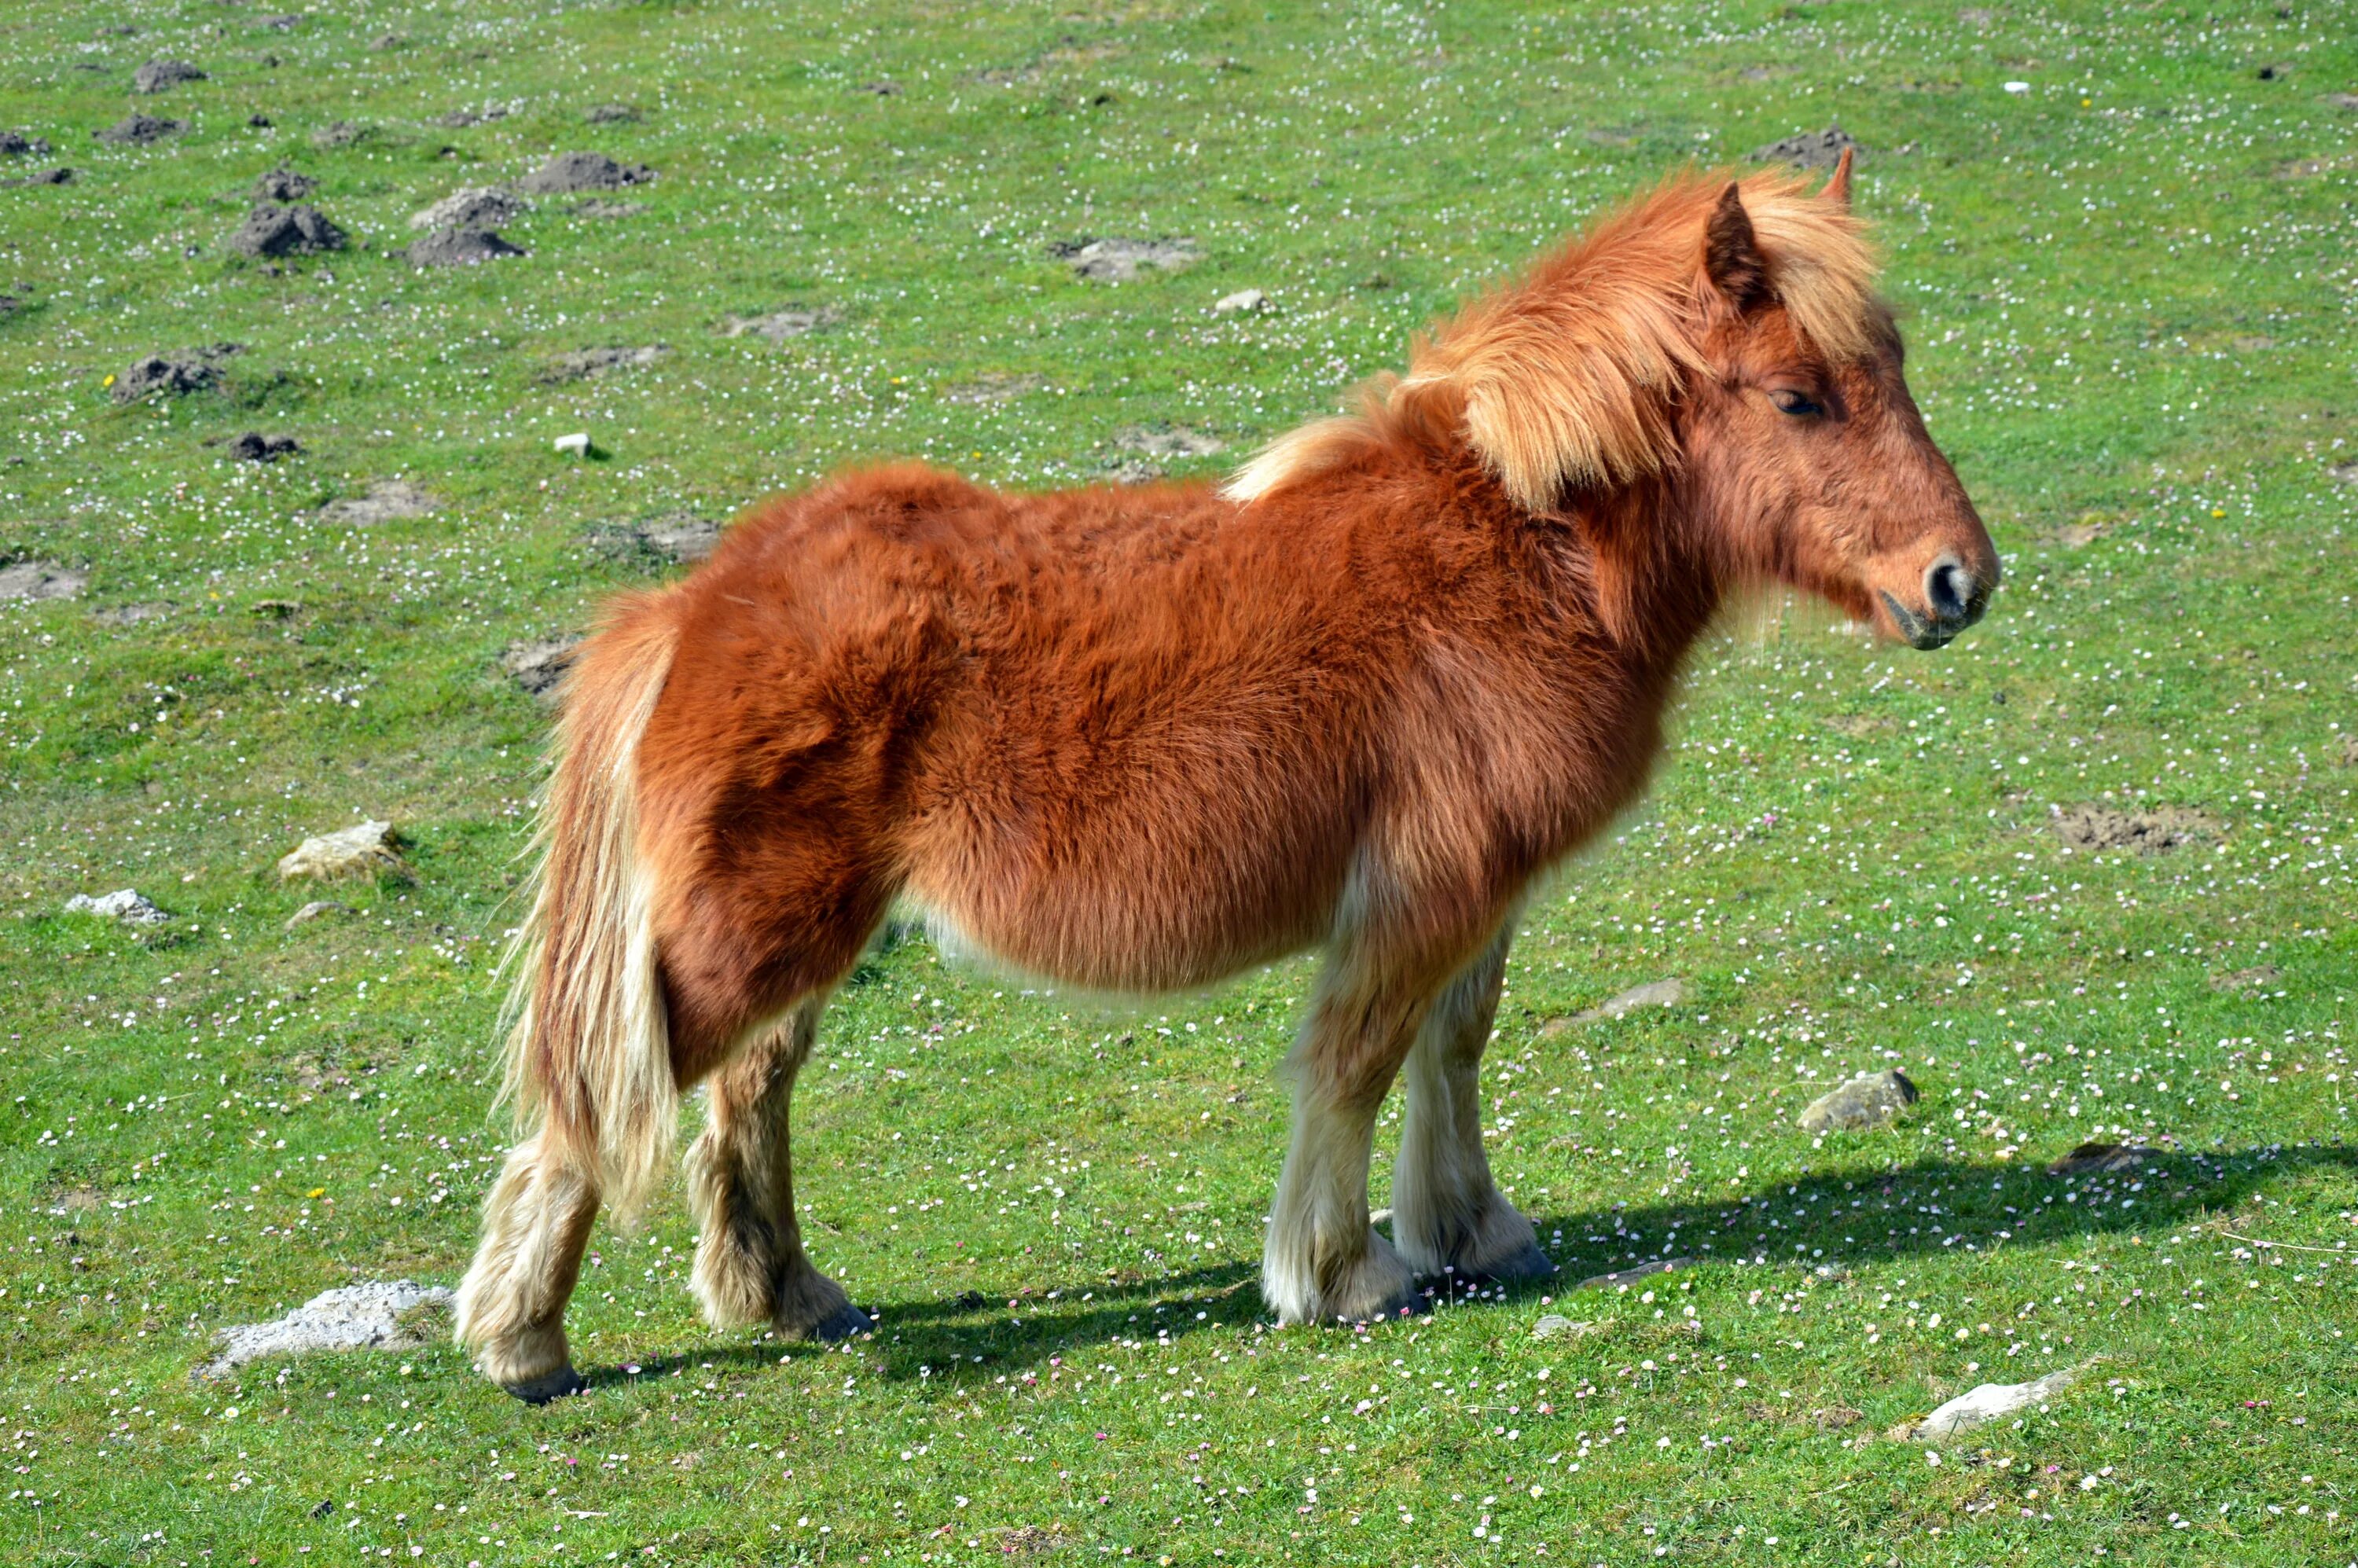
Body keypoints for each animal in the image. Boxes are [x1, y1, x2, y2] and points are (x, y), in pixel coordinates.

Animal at [455, 153, 1990, 1396]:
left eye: (1897, 371)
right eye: (1799, 397)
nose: (1958, 583)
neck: (1517, 554)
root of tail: (693, 603)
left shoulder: (1483, 892)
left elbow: (1454, 1046)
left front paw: (1475, 1232)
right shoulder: (1425, 890)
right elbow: (1356, 1062)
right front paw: (1342, 1272)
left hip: (805, 932)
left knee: (748, 1093)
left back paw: (788, 1295)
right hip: (747, 938)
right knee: (595, 1110)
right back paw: (524, 1343)